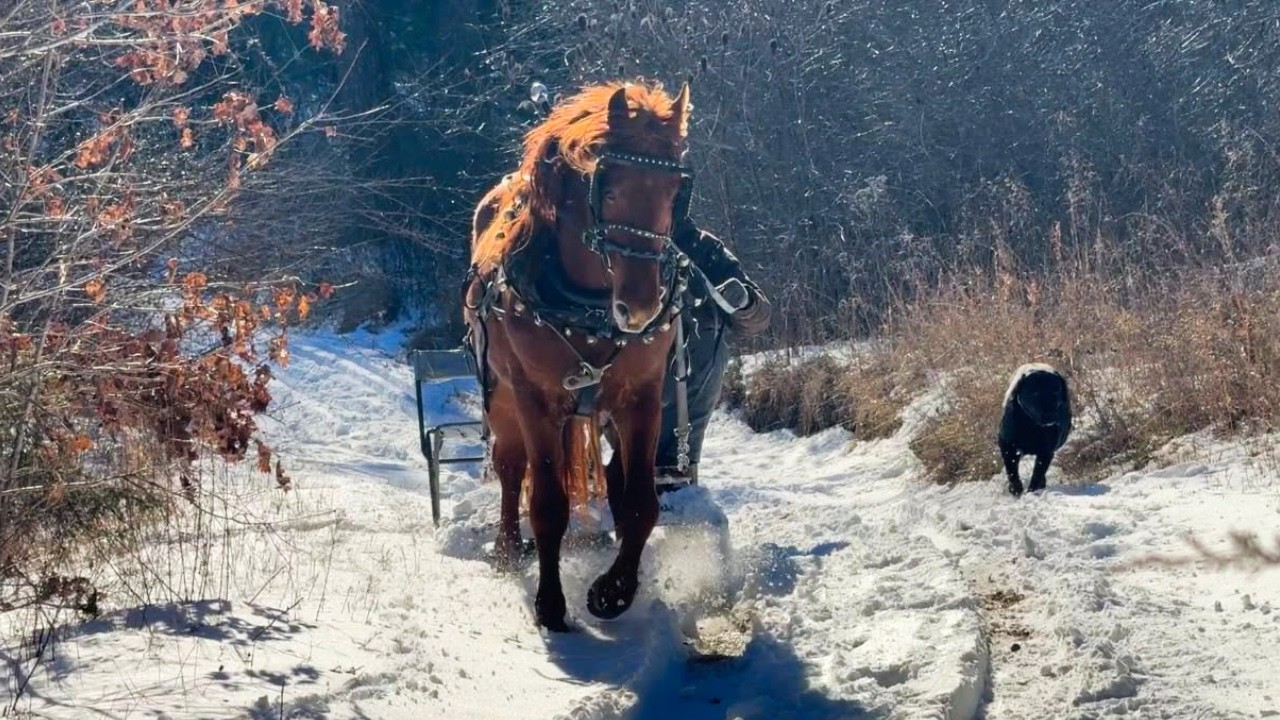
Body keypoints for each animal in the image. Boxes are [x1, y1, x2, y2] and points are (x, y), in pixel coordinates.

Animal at [463, 81, 695, 631]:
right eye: (607, 189)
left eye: (674, 191)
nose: (640, 308)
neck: (588, 308)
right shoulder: (536, 400)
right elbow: (548, 503)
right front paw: (551, 603)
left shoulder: (642, 398)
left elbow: (640, 503)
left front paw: (614, 590)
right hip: (502, 399)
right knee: (511, 468)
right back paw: (508, 548)